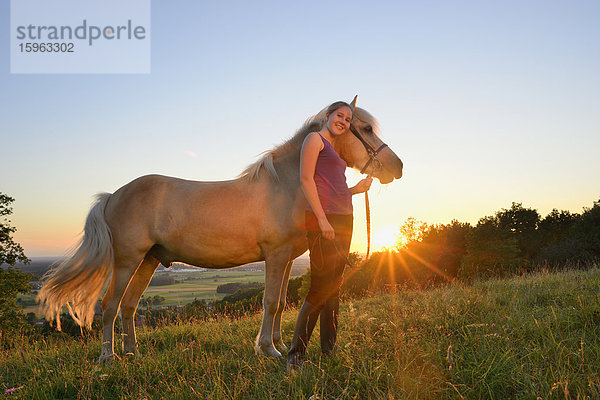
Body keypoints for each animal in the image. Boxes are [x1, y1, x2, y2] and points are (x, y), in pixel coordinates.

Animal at [37, 97, 404, 362]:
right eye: (365, 127)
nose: (398, 167)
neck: (287, 185)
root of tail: (113, 195)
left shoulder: (286, 259)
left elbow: (282, 300)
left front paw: (279, 344)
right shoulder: (276, 255)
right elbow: (271, 301)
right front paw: (269, 350)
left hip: (149, 260)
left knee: (128, 305)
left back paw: (133, 353)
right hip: (127, 260)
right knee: (110, 304)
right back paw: (108, 358)